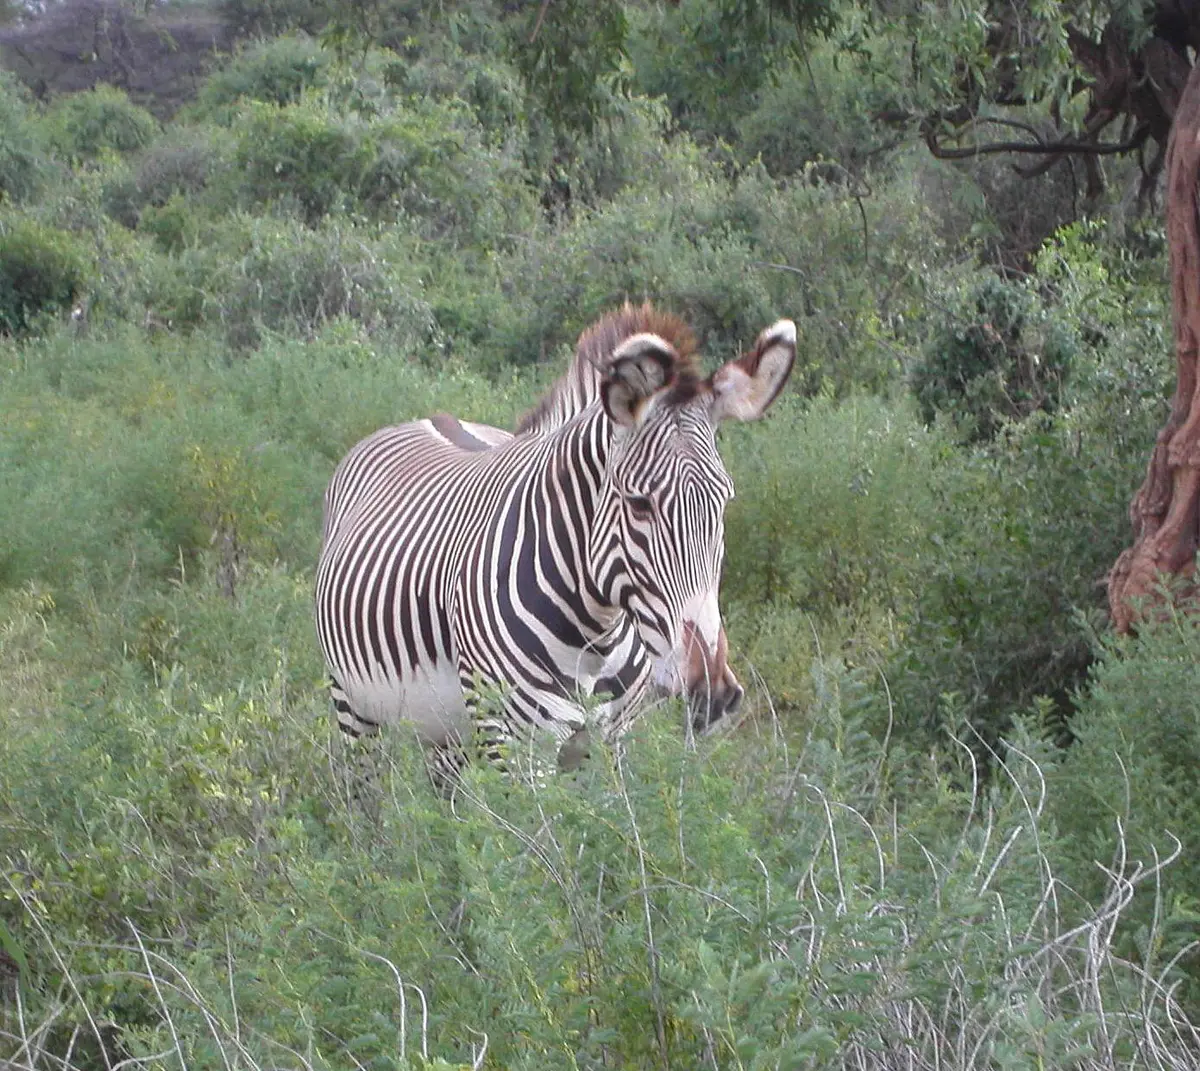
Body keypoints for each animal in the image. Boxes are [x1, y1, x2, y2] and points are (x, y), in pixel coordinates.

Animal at [314, 303, 796, 782]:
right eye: (639, 504)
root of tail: (427, 418)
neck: (598, 634)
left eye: (724, 501)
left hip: (445, 730)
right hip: (355, 708)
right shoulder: (515, 747)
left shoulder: (612, 741)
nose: (711, 693)